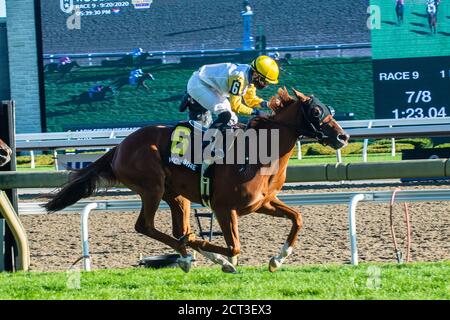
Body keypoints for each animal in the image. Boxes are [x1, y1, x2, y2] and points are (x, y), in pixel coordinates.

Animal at [44, 87, 348, 272]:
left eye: (328, 108)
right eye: (316, 112)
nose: (342, 136)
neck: (259, 153)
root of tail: (120, 146)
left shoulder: (263, 203)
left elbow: (297, 218)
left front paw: (277, 259)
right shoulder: (224, 208)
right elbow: (234, 245)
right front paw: (225, 258)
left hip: (176, 195)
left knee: (180, 230)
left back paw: (192, 254)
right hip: (152, 187)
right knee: (147, 226)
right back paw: (197, 253)